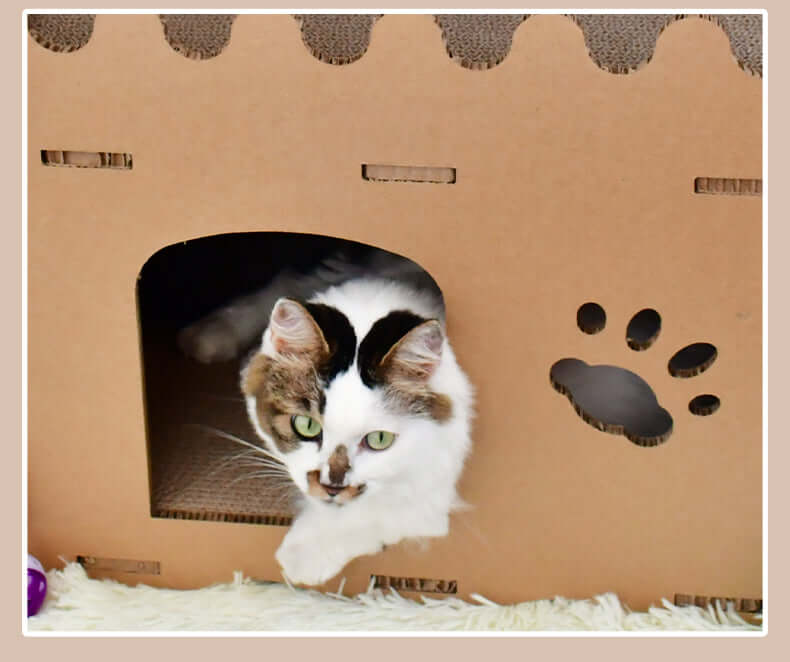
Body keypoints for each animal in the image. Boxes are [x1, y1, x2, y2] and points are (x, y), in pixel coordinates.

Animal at [179, 249, 476, 588]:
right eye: (306, 425)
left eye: (379, 439)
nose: (330, 487)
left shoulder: (437, 481)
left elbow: (377, 506)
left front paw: (302, 557)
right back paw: (207, 336)